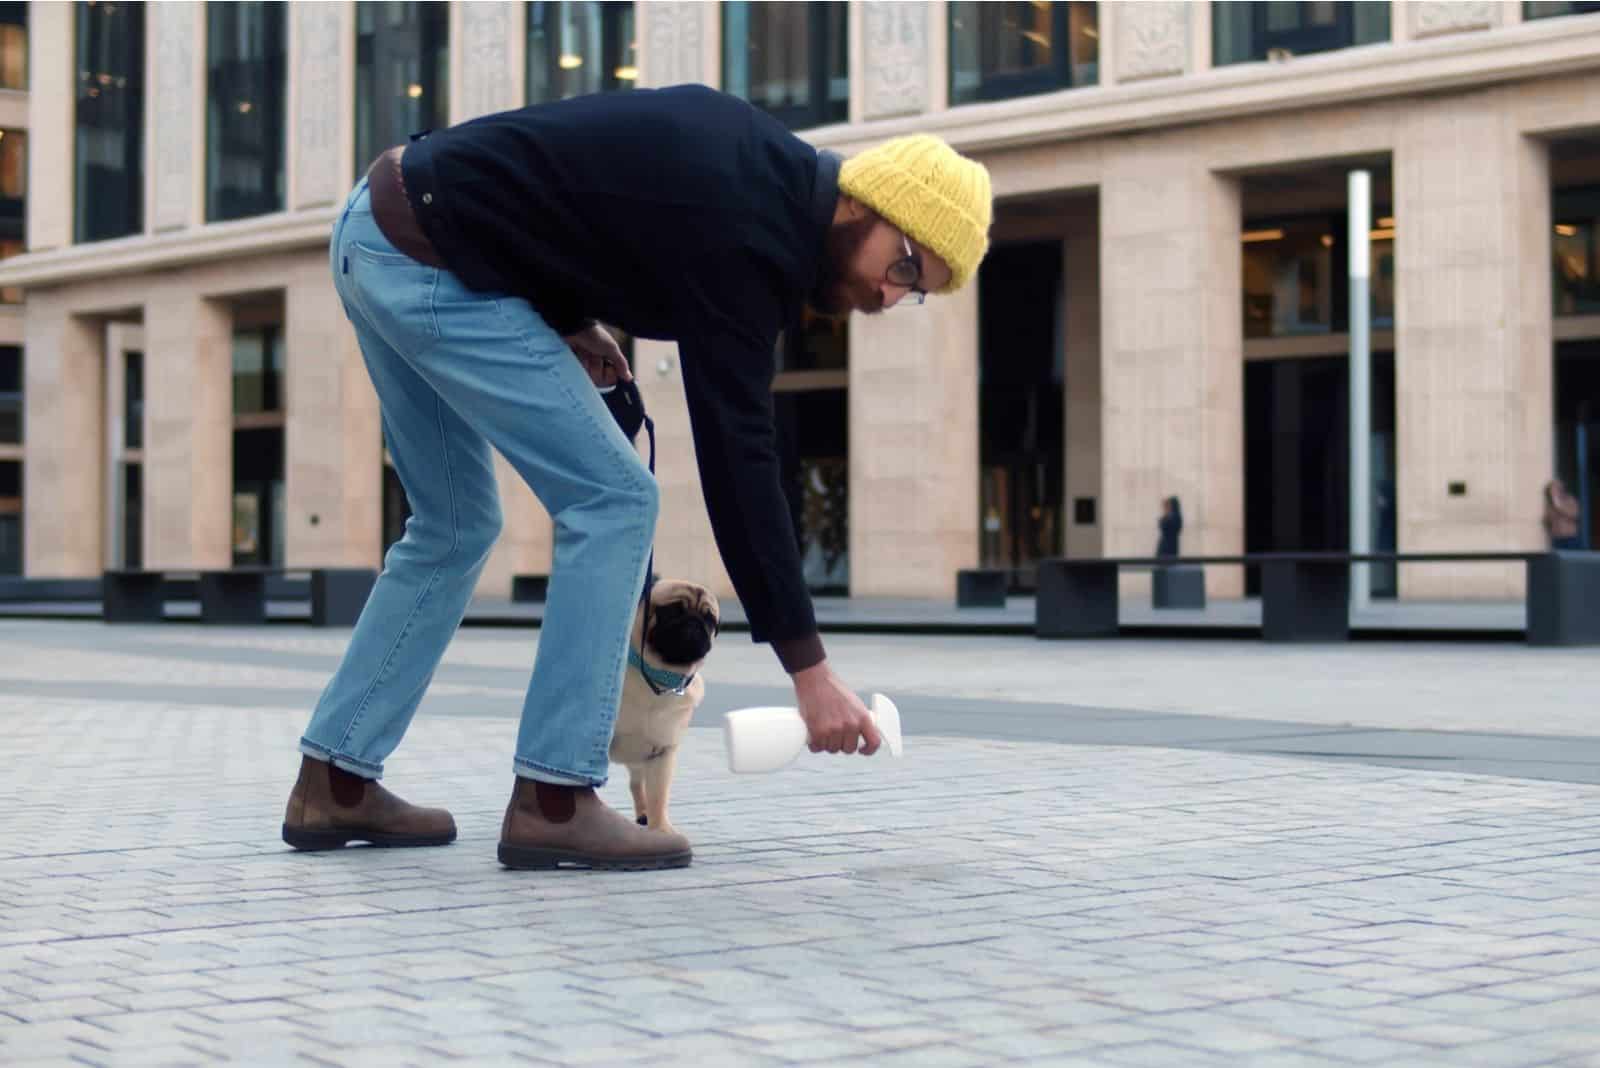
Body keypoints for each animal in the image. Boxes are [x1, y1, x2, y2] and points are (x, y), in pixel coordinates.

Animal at [604, 578, 720, 837]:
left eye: (709, 619)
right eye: (673, 610)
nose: (694, 621)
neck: (660, 678)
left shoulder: (662, 754)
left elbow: (658, 797)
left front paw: (661, 830)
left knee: (637, 785)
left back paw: (644, 816)